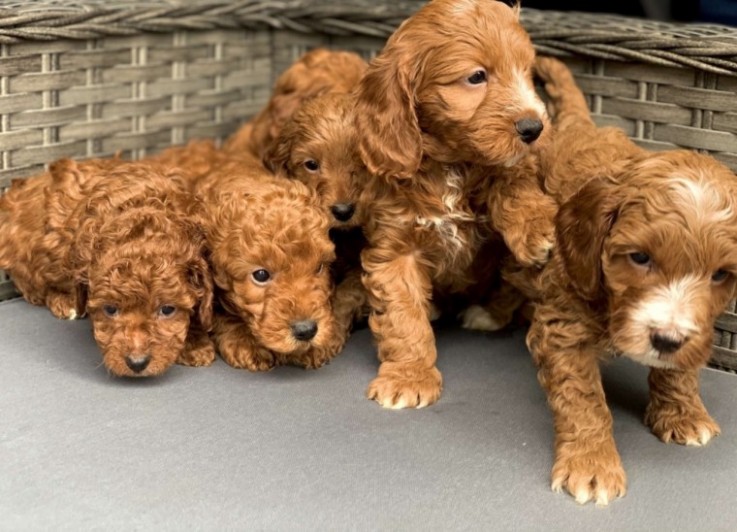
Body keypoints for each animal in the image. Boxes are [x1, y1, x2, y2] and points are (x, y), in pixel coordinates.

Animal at [350, 0, 552, 410]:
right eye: (476, 77)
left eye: (526, 73)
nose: (534, 128)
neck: (450, 165)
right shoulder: (395, 249)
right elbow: (402, 315)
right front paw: (409, 376)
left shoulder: (510, 169)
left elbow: (514, 183)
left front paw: (537, 227)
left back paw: (488, 313)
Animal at [524, 56, 736, 504]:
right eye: (639, 258)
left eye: (721, 275)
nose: (666, 340)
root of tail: (582, 125)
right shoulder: (564, 323)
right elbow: (582, 397)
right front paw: (591, 463)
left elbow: (679, 369)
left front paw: (682, 414)